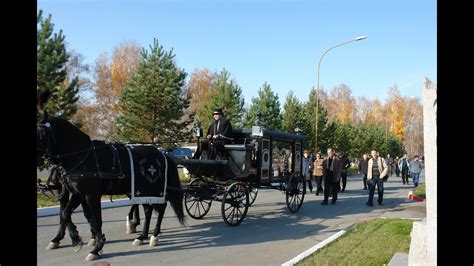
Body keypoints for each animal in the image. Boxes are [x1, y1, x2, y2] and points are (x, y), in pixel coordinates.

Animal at [36, 113, 185, 260]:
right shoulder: (78, 193)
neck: (82, 155)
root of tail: (162, 154)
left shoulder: (91, 195)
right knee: (148, 211)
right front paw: (76, 240)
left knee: (161, 208)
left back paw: (154, 235)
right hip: (141, 191)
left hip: (154, 190)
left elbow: (96, 220)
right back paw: (142, 236)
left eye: (41, 133)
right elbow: (65, 214)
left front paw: (96, 248)